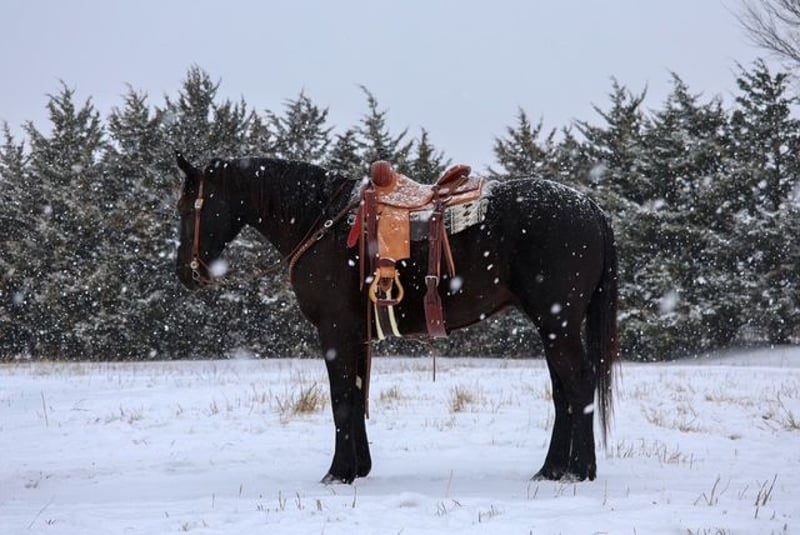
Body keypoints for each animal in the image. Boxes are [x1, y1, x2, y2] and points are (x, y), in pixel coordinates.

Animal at [173, 152, 619, 484]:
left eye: (187, 209)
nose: (185, 273)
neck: (320, 222)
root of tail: (590, 207)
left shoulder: (335, 331)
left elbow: (341, 400)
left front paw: (338, 474)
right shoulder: (355, 335)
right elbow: (355, 395)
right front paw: (359, 468)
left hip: (557, 323)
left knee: (578, 383)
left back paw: (580, 471)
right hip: (552, 326)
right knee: (563, 390)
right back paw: (552, 469)